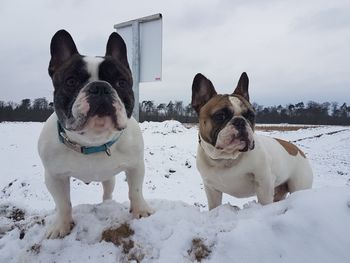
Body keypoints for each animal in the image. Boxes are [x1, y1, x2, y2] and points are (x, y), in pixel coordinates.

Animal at [39, 30, 152, 239]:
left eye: (121, 82)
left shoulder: (136, 166)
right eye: (71, 81)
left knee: (107, 192)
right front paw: (61, 226)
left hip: (109, 178)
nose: (100, 87)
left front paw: (141, 210)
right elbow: (63, 203)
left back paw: (107, 204)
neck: (93, 141)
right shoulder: (54, 177)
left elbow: (135, 190)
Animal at [193, 72, 314, 210]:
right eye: (220, 116)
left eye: (251, 116)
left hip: (299, 186)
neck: (226, 158)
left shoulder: (264, 182)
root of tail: (297, 149)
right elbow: (214, 206)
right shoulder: (211, 189)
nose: (240, 121)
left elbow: (264, 202)